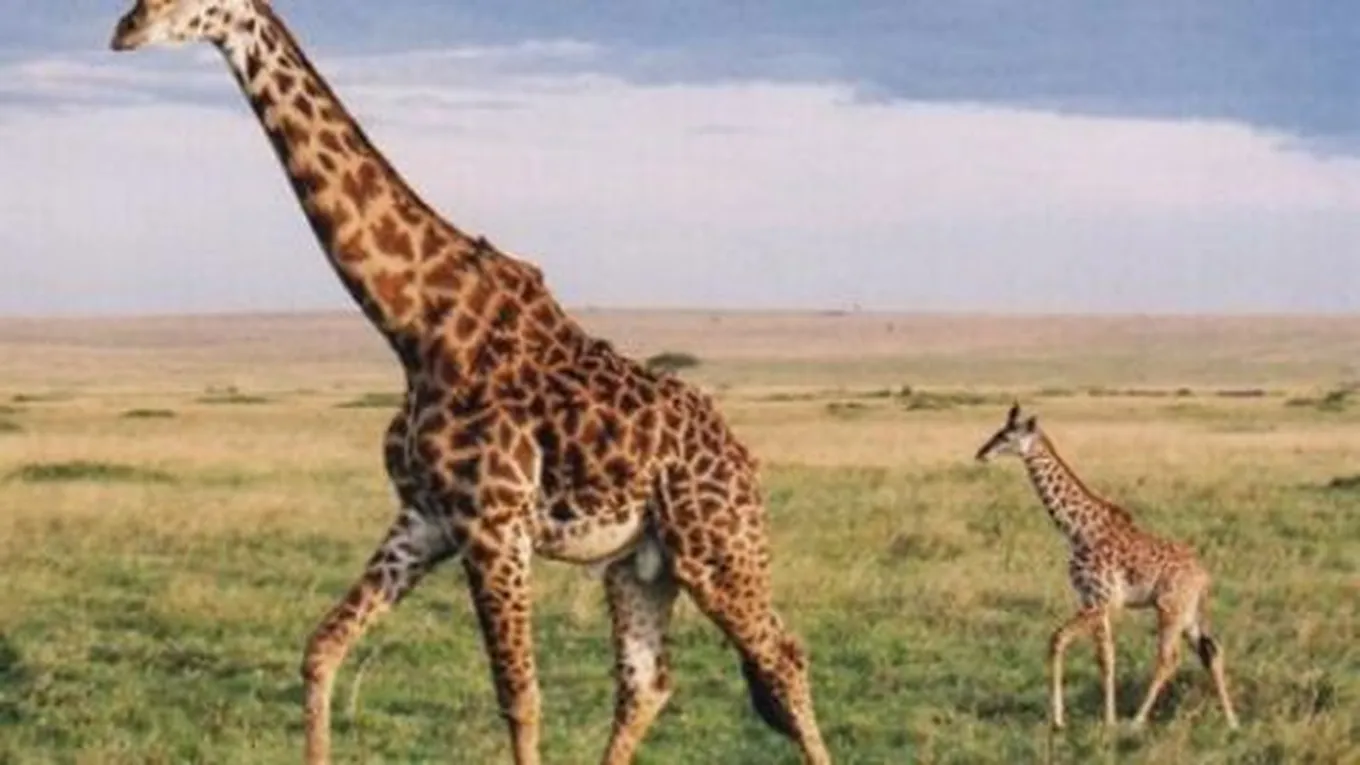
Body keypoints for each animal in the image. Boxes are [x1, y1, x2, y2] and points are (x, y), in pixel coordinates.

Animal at [109, 2, 830, 764]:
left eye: (181, 3)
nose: (124, 29)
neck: (415, 326)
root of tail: (745, 461)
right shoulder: (426, 517)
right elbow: (322, 647)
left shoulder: (494, 524)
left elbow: (520, 697)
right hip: (640, 565)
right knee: (649, 681)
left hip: (717, 548)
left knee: (784, 657)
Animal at [974, 403, 1239, 731]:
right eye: (998, 431)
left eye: (1007, 435)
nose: (982, 453)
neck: (1076, 530)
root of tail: (1205, 577)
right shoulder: (1092, 601)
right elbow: (1106, 656)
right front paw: (1107, 719)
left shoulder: (1103, 600)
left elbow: (1058, 638)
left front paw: (1060, 719)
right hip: (1188, 614)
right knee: (1212, 651)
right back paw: (1232, 721)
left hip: (1170, 608)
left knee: (1169, 658)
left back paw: (1137, 720)